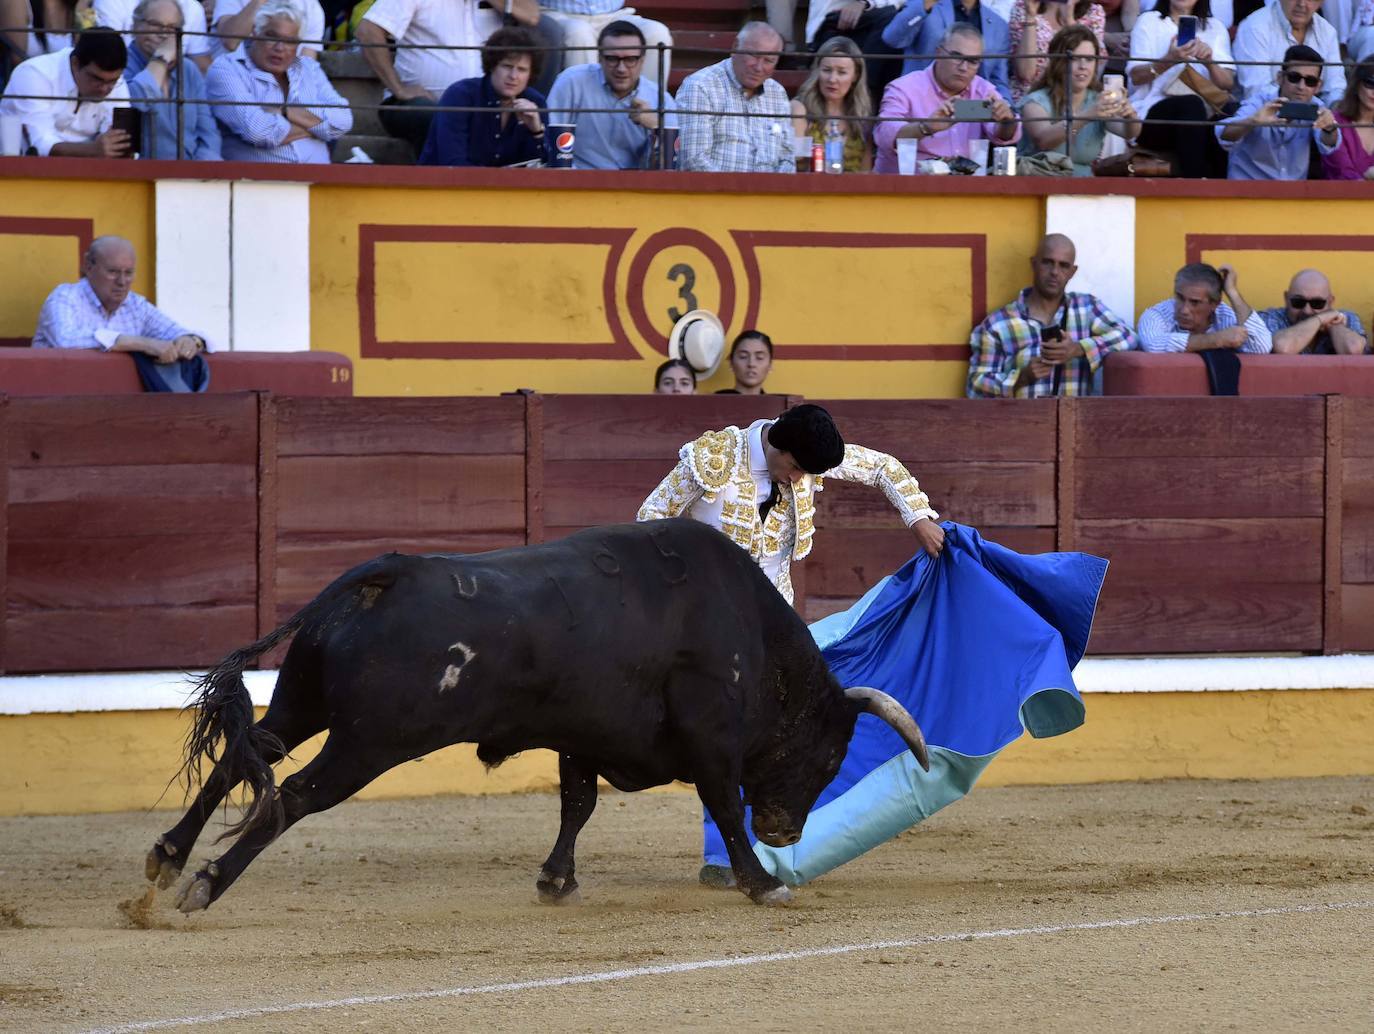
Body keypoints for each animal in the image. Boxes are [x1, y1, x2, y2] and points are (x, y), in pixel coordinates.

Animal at [150, 519, 928, 906]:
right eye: (829, 755)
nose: (785, 831)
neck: (748, 631)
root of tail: (384, 571)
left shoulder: (583, 736)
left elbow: (576, 805)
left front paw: (556, 880)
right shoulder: (710, 738)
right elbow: (720, 804)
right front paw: (763, 884)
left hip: (302, 702)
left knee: (243, 758)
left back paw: (167, 858)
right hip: (370, 742)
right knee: (290, 796)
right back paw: (205, 885)